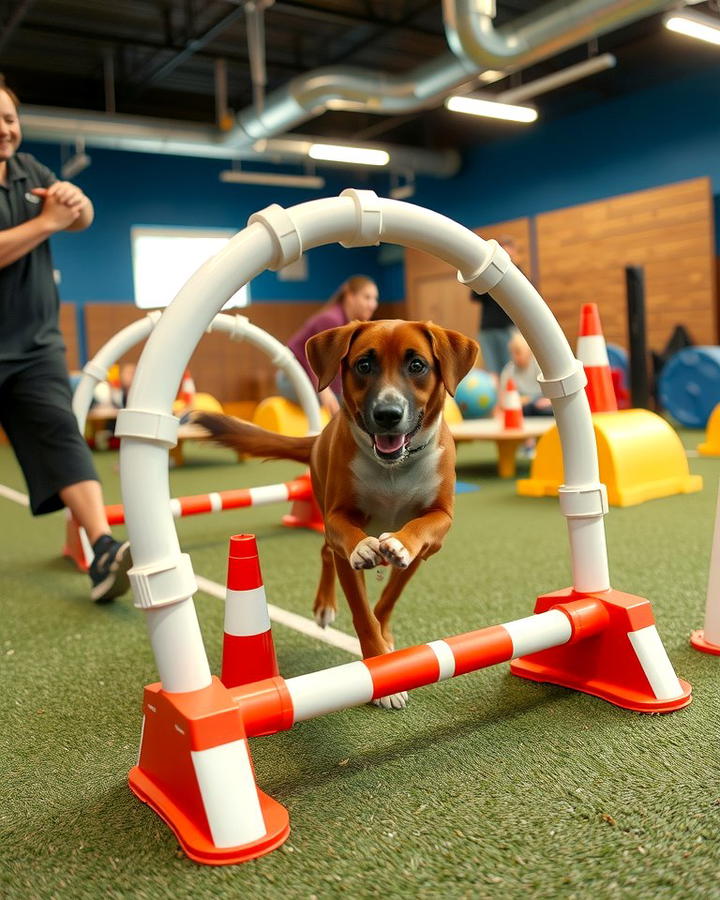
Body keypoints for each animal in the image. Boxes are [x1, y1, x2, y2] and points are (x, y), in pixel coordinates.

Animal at [197, 320, 478, 708]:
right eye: (364, 365)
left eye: (417, 365)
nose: (387, 414)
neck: (393, 469)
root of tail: (318, 436)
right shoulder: (337, 521)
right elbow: (361, 605)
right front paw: (382, 669)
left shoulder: (436, 530)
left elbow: (393, 587)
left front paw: (387, 634)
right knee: (327, 551)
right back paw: (325, 605)